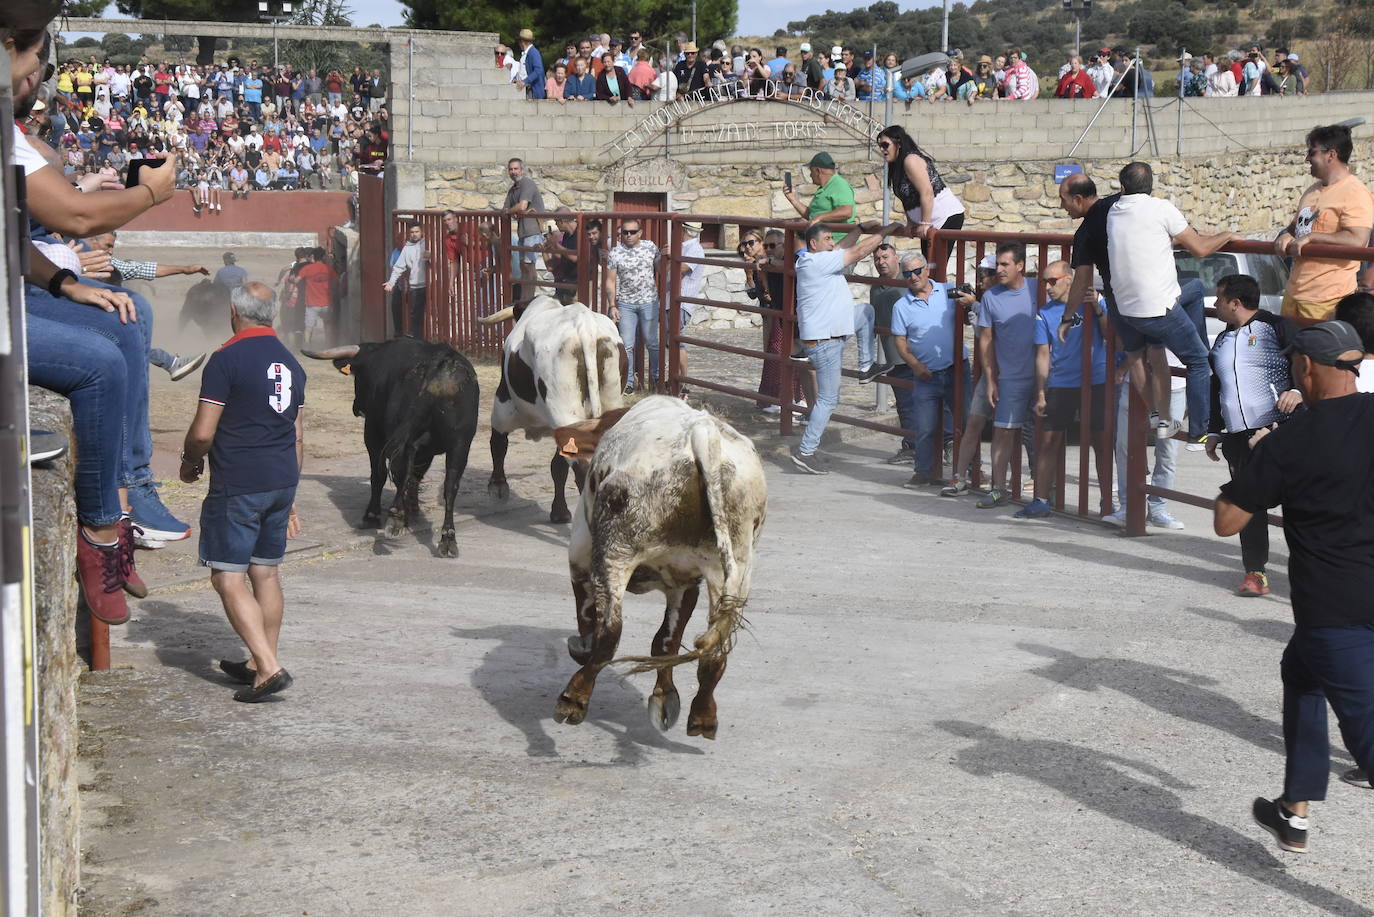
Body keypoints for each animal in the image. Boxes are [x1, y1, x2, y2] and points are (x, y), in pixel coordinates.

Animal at [305, 335, 478, 552]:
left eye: (358, 377)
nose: (356, 408)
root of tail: (441, 362)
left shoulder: (373, 432)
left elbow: (379, 475)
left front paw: (373, 516)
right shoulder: (428, 449)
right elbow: (416, 477)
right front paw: (412, 511)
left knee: (399, 471)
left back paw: (395, 519)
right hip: (460, 444)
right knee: (449, 485)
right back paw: (447, 539)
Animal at [475, 295, 621, 522]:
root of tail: (584, 323)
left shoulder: (503, 405)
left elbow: (498, 444)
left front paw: (498, 487)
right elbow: (558, 467)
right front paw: (559, 512)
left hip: (565, 415)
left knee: (582, 470)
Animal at [552, 398, 769, 742]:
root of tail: (703, 435)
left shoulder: (581, 551)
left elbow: (588, 616)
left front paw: (581, 650)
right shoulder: (686, 583)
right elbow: (666, 641)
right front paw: (665, 696)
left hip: (614, 552)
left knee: (610, 631)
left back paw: (574, 697)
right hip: (734, 570)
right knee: (715, 649)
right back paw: (703, 715)